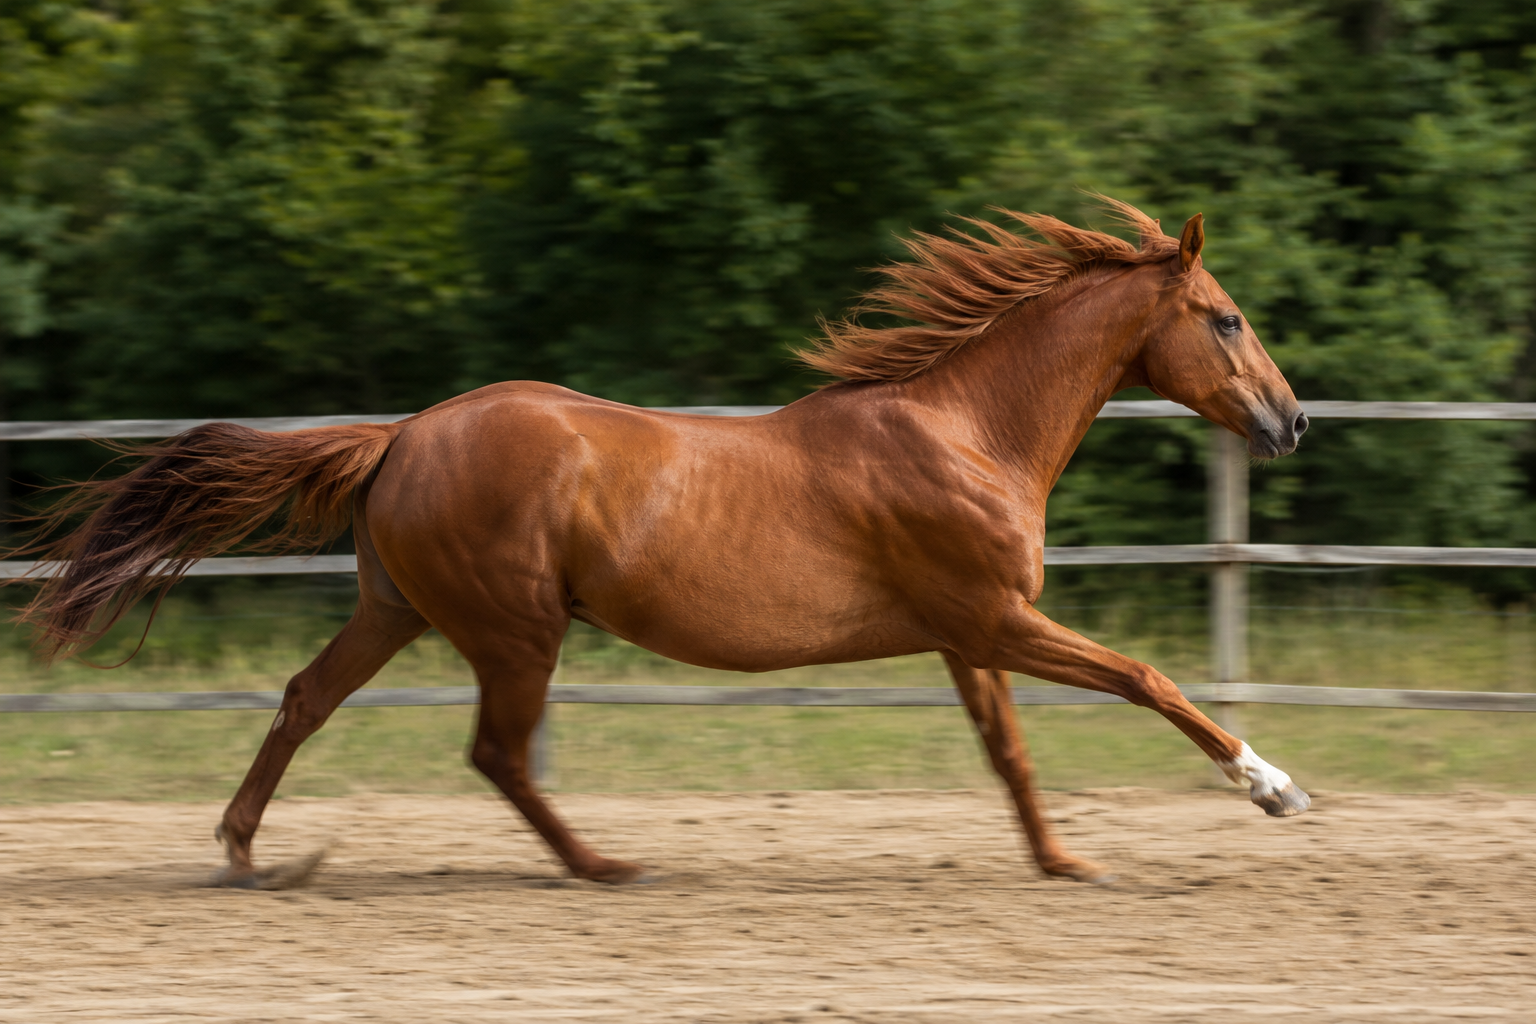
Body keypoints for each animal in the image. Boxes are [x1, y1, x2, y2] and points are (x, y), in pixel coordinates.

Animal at [14, 199, 1310, 888]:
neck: (965, 431)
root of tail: (402, 436)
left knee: (305, 699)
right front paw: (1274, 789)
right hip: (514, 629)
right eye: (1226, 318)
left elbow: (1011, 755)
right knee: (495, 751)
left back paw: (241, 851)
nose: (1290, 420)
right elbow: (1146, 678)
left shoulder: (968, 635)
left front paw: (1062, 863)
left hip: (399, 609)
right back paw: (603, 866)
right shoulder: (996, 618)